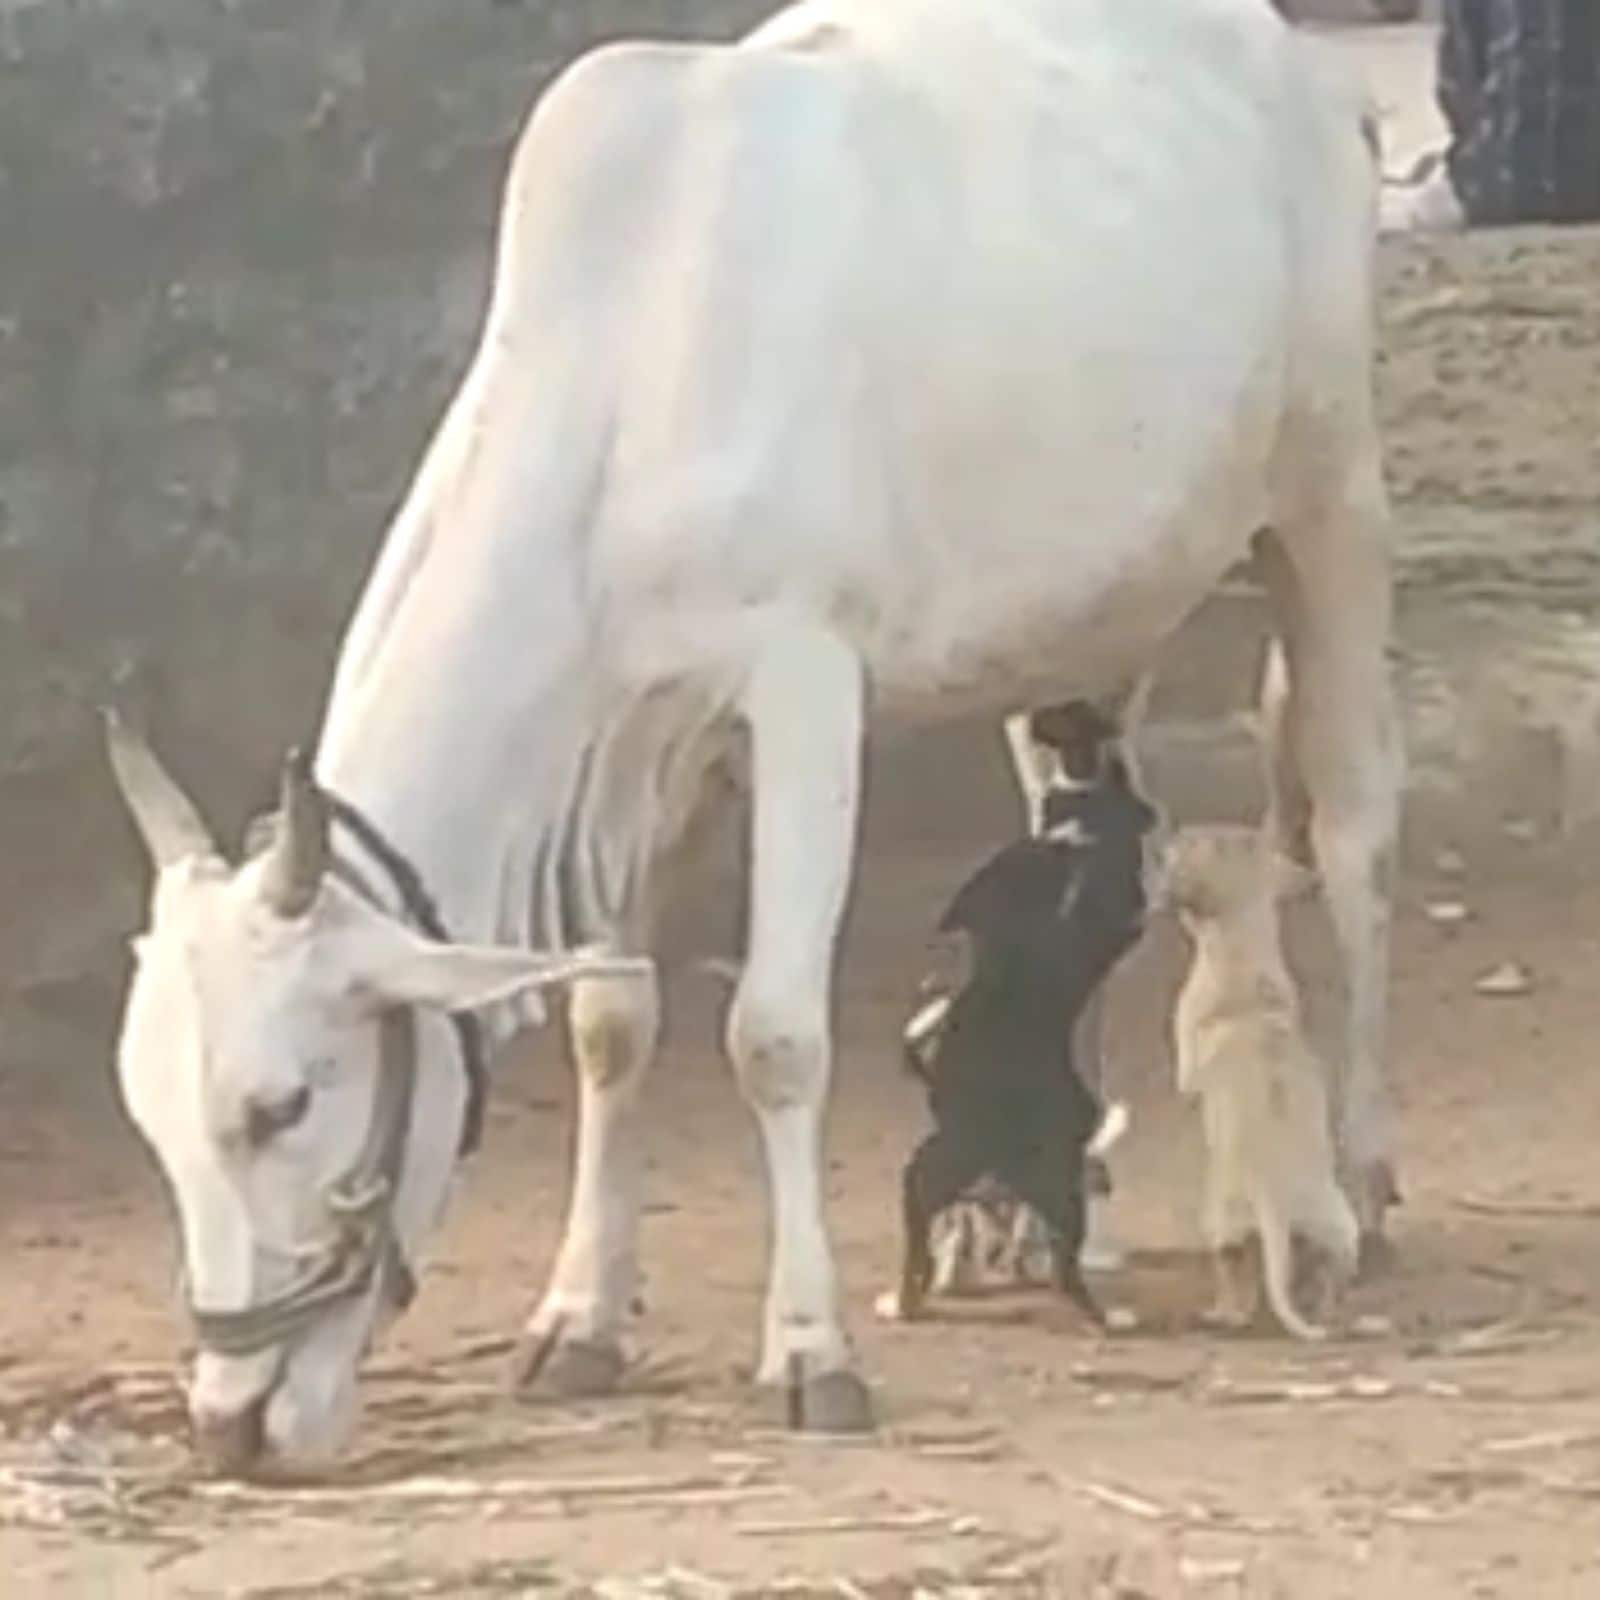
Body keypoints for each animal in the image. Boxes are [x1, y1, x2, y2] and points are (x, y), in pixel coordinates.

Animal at [1164, 825, 1363, 1337]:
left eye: (1197, 841)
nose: (1177, 833)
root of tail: (1276, 1195)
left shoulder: (1187, 1056)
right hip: (1338, 1220)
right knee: (1336, 1265)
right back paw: (1329, 1310)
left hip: (1221, 1217)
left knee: (1233, 1274)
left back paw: (1222, 1313)